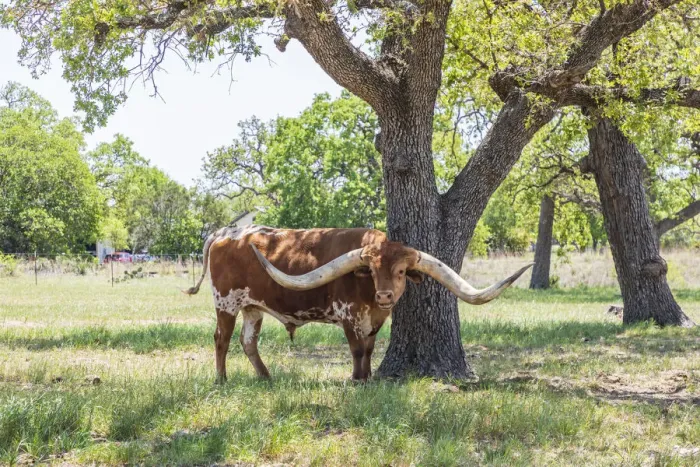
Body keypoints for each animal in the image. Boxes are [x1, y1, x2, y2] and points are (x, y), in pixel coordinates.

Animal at [185, 224, 533, 382]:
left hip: (252, 307)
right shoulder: (347, 315)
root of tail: (224, 232)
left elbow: (368, 349)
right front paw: (355, 379)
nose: (385, 296)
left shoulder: (376, 321)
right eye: (373, 271)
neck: (369, 298)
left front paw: (367, 378)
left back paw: (266, 377)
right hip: (226, 302)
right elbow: (354, 349)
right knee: (221, 339)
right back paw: (221, 379)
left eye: (401, 271)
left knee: (248, 341)